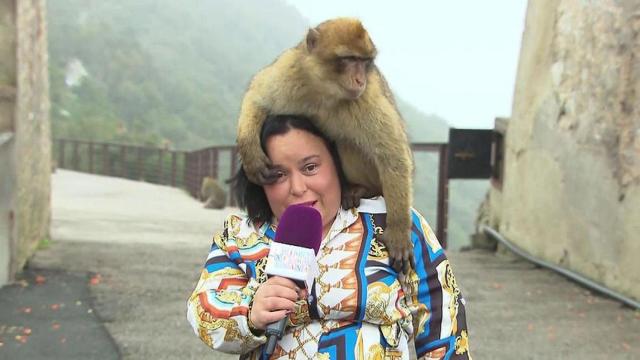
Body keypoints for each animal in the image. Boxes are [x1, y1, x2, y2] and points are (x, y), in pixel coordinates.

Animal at [235, 15, 416, 272]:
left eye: (364, 62)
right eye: (349, 59)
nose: (360, 79)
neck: (325, 90)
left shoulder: (366, 97)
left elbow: (393, 155)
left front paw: (399, 230)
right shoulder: (290, 70)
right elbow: (258, 96)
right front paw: (251, 155)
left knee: (349, 143)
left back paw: (362, 189)